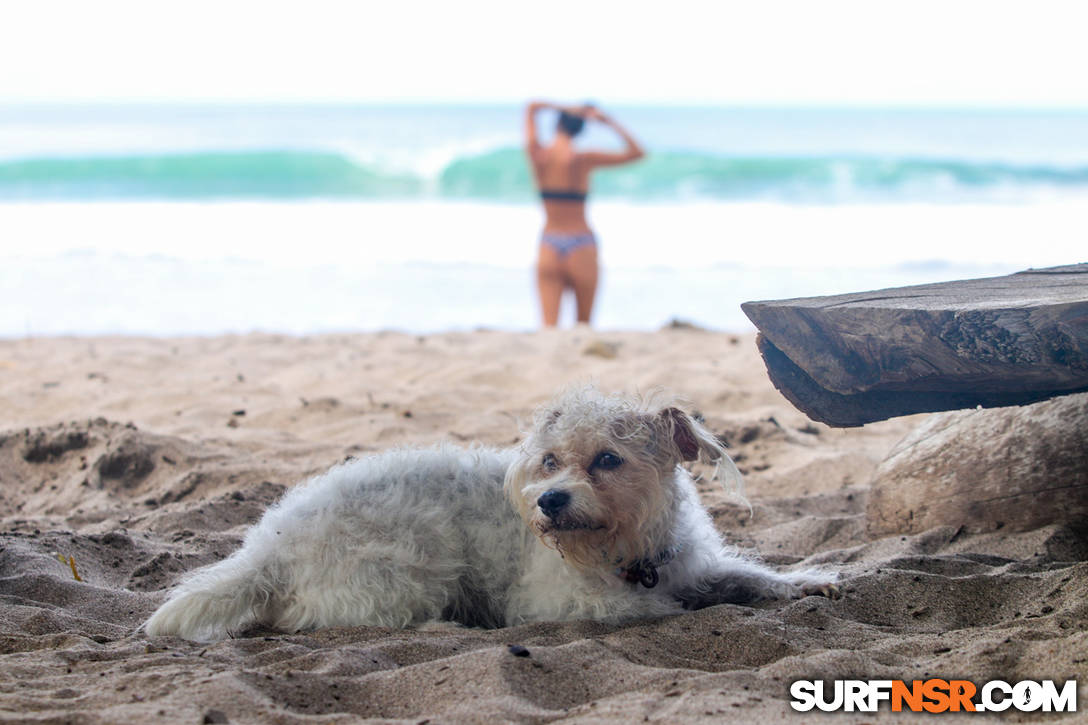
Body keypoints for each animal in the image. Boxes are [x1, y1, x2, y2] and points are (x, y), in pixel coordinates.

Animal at [144, 383, 835, 640]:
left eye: (608, 459)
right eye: (550, 461)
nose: (549, 501)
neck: (630, 550)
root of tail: (269, 547)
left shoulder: (692, 562)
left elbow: (747, 575)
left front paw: (805, 582)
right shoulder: (563, 602)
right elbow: (668, 608)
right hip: (410, 571)